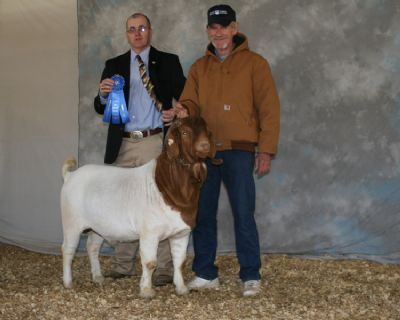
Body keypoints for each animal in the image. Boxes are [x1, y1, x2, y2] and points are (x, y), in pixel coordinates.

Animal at [59, 117, 219, 298]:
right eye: (185, 132)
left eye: (206, 130)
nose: (205, 146)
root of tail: (70, 175)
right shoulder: (150, 233)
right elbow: (150, 262)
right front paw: (146, 291)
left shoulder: (182, 233)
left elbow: (179, 261)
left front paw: (182, 288)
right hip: (71, 223)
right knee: (68, 249)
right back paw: (68, 282)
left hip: (97, 227)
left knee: (92, 247)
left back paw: (98, 277)